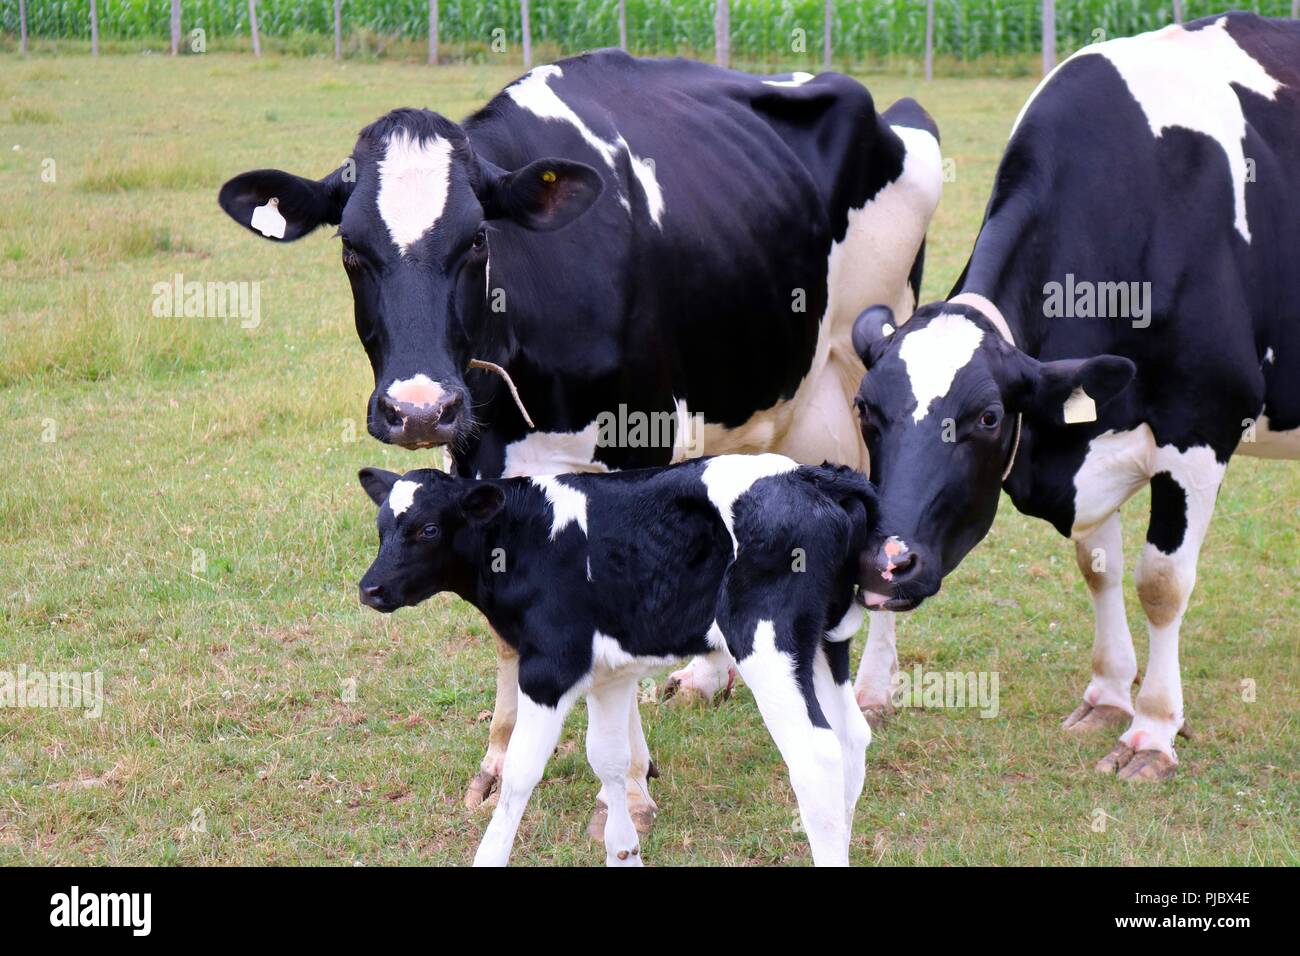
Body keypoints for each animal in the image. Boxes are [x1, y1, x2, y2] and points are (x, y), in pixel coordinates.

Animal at [218, 51, 942, 822]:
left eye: (478, 239)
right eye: (352, 249)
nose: (418, 409)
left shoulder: (641, 444)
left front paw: (630, 784)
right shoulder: (476, 458)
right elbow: (505, 628)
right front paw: (499, 760)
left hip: (861, 358)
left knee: (880, 512)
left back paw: (873, 685)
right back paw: (707, 676)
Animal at [356, 455, 877, 866]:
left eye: (428, 529)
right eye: (381, 529)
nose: (370, 588)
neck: (528, 536)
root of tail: (814, 476)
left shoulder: (549, 666)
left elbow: (521, 772)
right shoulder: (609, 676)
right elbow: (608, 760)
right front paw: (623, 851)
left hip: (766, 643)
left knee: (816, 753)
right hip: (824, 643)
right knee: (851, 736)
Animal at [851, 13, 1299, 781]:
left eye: (988, 417)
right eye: (865, 410)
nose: (889, 561)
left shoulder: (1202, 423)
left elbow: (1161, 582)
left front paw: (1152, 730)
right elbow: (1099, 568)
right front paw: (1108, 695)